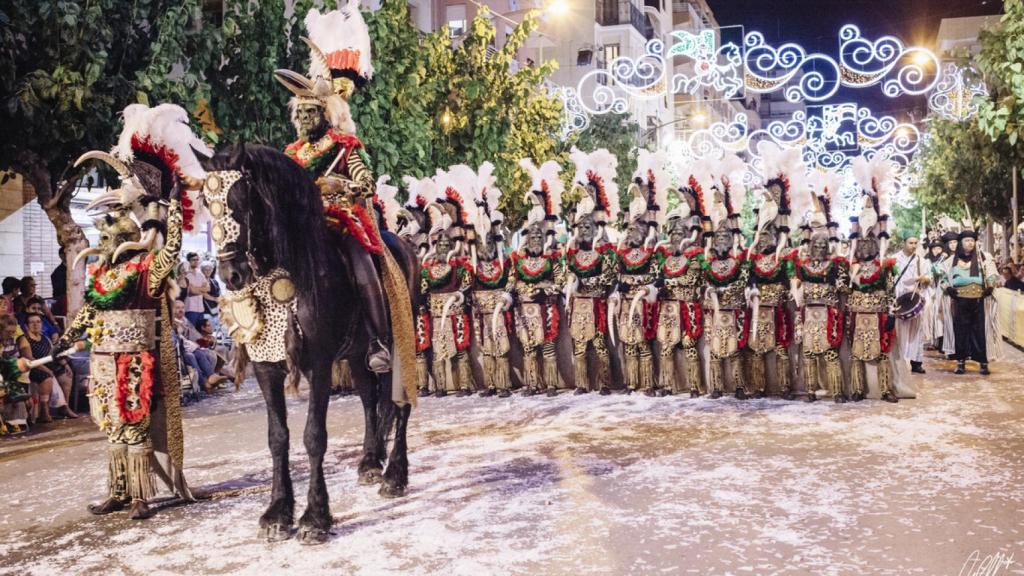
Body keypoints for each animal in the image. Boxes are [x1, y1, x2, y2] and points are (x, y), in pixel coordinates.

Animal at [195, 144, 419, 541]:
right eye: (207, 201)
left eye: (241, 199)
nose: (230, 275)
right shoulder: (266, 367)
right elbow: (277, 437)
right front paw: (277, 513)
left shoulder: (318, 365)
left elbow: (314, 436)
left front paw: (315, 518)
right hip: (359, 354)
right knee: (369, 400)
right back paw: (369, 462)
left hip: (405, 339)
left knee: (399, 403)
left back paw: (394, 475)